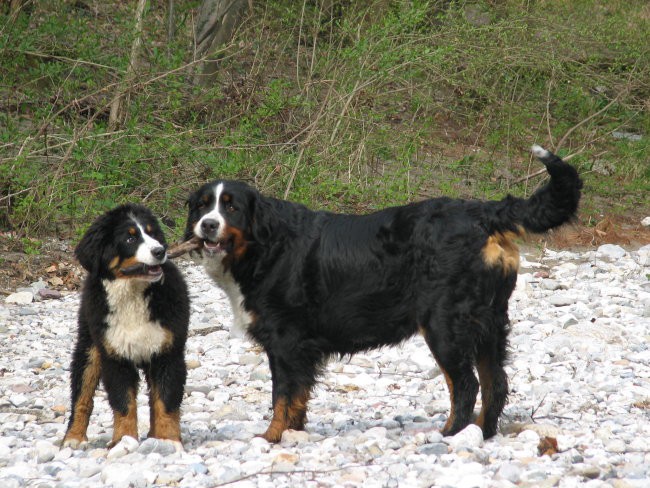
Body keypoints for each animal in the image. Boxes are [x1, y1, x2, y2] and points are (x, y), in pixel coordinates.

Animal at [62, 204, 190, 448]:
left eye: (152, 233)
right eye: (130, 239)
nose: (160, 251)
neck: (133, 294)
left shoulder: (167, 352)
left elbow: (165, 401)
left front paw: (168, 440)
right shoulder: (115, 355)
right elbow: (123, 402)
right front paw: (124, 440)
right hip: (89, 347)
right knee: (81, 396)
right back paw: (73, 438)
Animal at [184, 145, 584, 442]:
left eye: (231, 207)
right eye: (203, 205)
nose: (208, 225)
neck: (265, 246)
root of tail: (483, 212)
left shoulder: (287, 341)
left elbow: (283, 395)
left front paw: (272, 437)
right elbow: (296, 398)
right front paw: (292, 433)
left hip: (445, 325)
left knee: (466, 385)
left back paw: (450, 435)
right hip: (490, 323)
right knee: (495, 383)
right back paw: (481, 434)